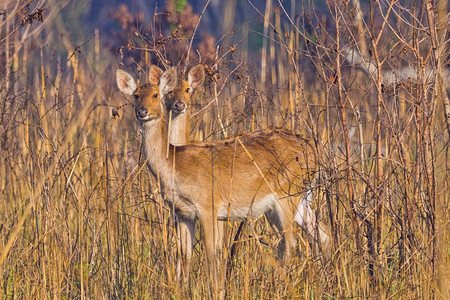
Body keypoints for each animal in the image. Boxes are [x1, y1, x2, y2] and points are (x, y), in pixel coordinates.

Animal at [116, 65, 330, 286]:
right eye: (135, 95)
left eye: (156, 94)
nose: (142, 111)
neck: (176, 165)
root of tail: (315, 152)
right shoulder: (182, 213)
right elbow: (184, 257)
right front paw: (181, 289)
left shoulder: (208, 205)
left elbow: (212, 253)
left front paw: (217, 288)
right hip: (302, 197)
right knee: (322, 234)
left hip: (286, 194)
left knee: (290, 243)